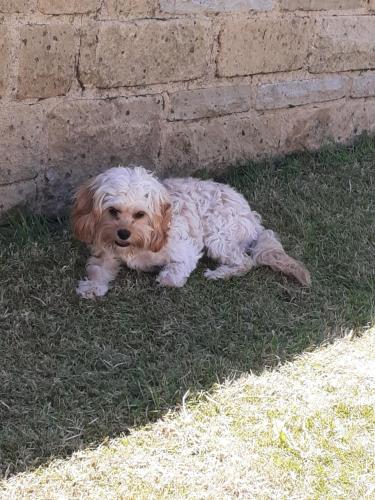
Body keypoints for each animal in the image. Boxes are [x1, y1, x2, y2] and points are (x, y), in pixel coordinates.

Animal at [71, 165, 312, 296]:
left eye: (140, 214)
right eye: (112, 211)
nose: (123, 233)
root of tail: (252, 217)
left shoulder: (183, 247)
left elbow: (176, 271)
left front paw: (166, 277)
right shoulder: (105, 251)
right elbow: (98, 269)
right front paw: (92, 287)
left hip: (218, 235)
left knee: (245, 262)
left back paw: (219, 273)